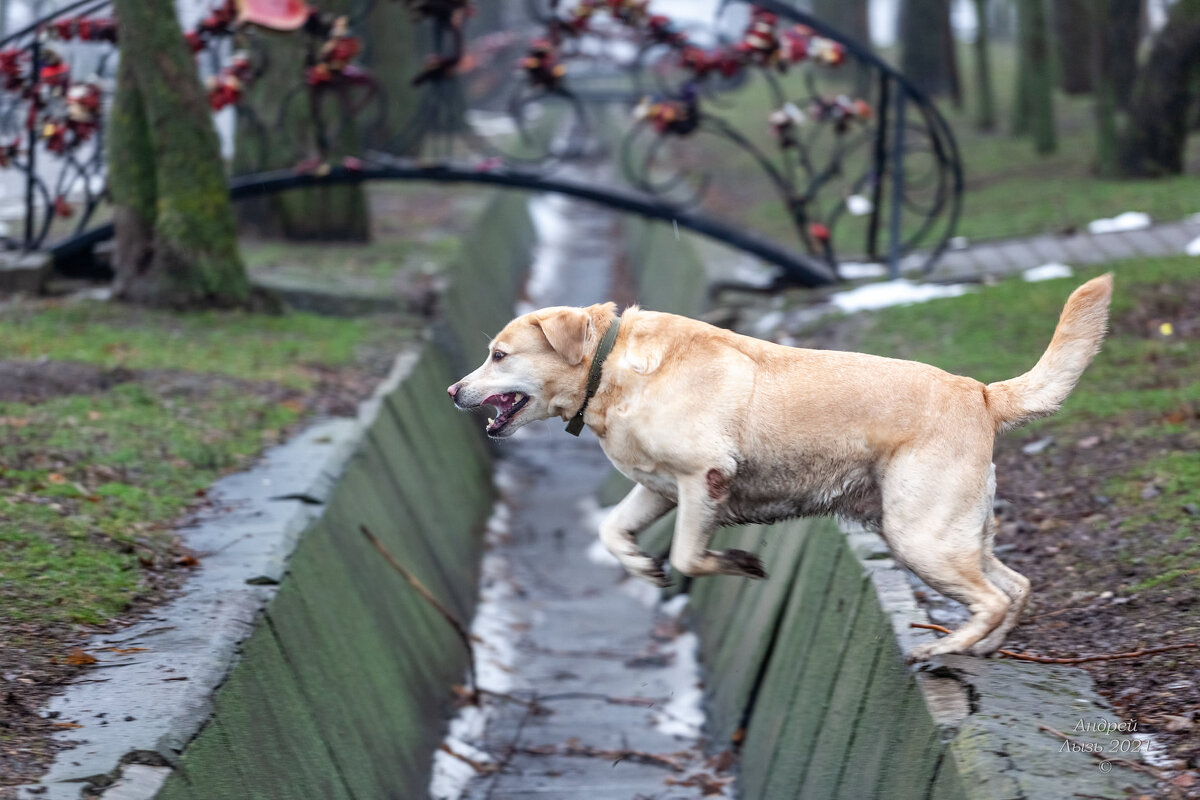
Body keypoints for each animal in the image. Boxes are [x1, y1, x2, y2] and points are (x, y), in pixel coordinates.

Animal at [451, 277, 1113, 662]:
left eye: (498, 356)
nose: (455, 390)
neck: (611, 368)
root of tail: (981, 392)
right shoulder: (660, 488)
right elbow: (612, 530)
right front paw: (641, 565)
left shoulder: (703, 479)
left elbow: (690, 555)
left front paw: (738, 563)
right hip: (945, 533)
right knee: (1016, 585)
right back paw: (985, 647)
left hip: (920, 535)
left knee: (994, 596)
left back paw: (944, 651)